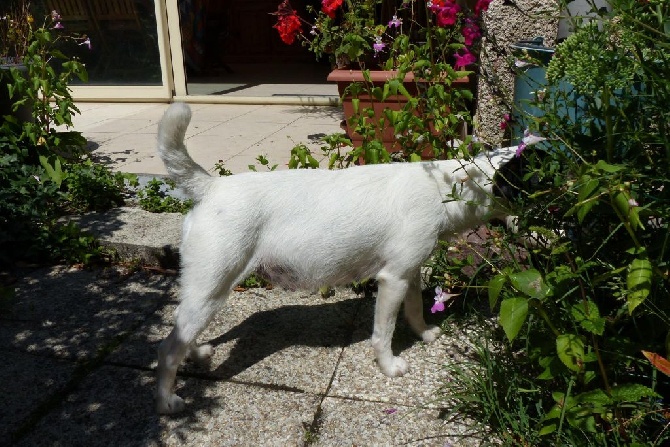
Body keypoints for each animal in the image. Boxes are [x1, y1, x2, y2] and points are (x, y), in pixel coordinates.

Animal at [156, 103, 520, 414]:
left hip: (204, 293)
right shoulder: (393, 280)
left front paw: (424, 334)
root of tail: (210, 187)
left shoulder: (410, 272)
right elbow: (384, 333)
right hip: (211, 288)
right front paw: (389, 367)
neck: (445, 187)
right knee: (169, 348)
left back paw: (196, 353)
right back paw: (167, 400)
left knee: (181, 328)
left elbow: (416, 308)